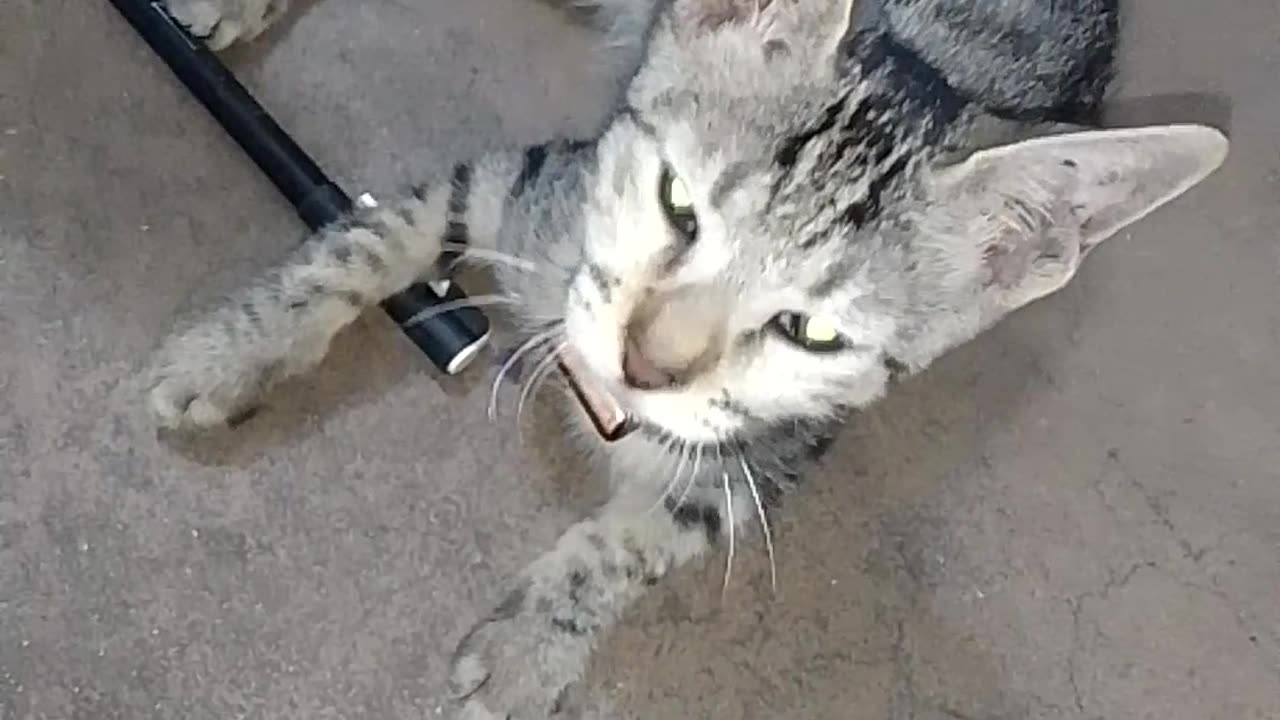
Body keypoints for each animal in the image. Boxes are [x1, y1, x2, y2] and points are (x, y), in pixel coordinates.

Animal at [142, 0, 1228, 712]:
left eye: (814, 332)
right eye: (676, 201)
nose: (646, 367)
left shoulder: (777, 450)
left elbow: (642, 539)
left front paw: (534, 643)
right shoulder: (532, 183)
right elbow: (367, 241)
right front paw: (230, 349)